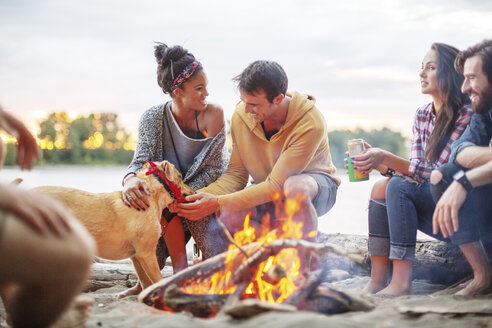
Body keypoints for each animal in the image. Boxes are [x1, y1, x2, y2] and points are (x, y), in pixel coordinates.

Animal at [32, 161, 194, 294]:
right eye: (180, 176)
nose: (194, 191)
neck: (152, 198)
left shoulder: (136, 256)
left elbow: (145, 283)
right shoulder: (146, 253)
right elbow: (158, 280)